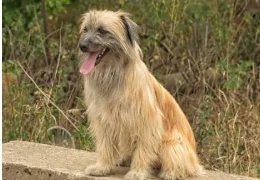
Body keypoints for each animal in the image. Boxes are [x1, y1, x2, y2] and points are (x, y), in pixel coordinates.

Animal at [78, 10, 202, 180]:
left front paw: (138, 172)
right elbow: (105, 146)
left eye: (102, 31)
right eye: (85, 29)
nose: (82, 46)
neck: (113, 74)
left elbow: (143, 148)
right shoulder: (103, 120)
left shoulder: (146, 121)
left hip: (172, 142)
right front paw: (102, 167)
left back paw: (170, 172)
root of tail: (195, 162)